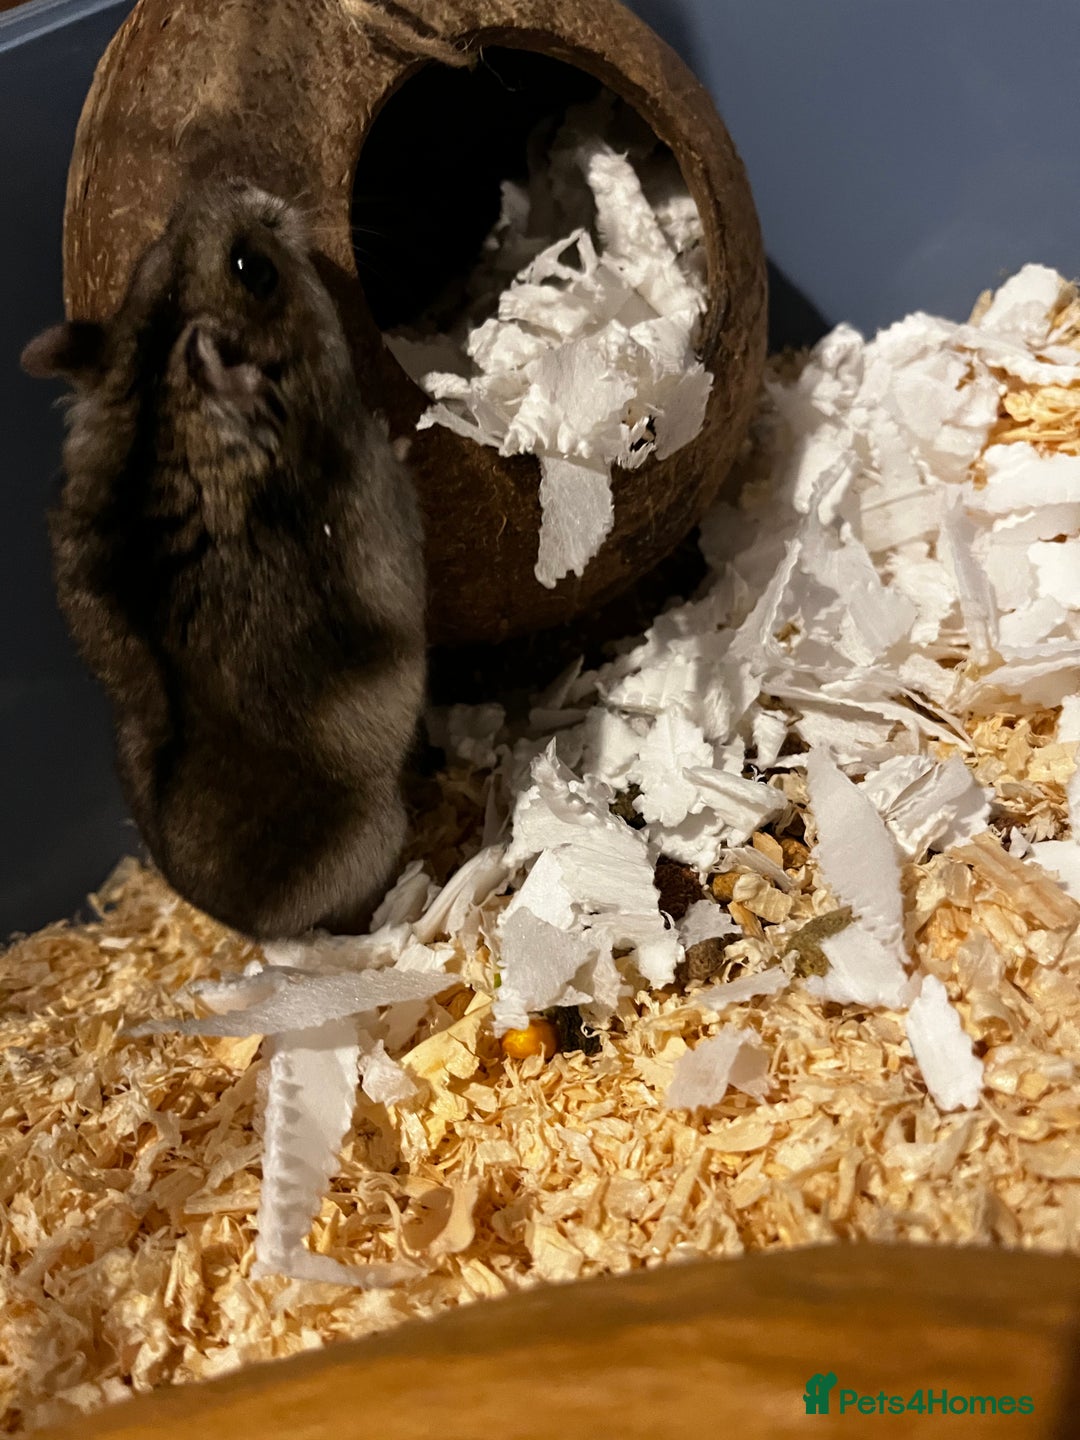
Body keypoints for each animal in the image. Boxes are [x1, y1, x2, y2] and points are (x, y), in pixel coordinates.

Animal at [22, 178, 426, 939]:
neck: (164, 418)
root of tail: (230, 922)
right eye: (252, 268)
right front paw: (405, 431)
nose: (239, 186)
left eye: (148, 256)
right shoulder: (376, 509)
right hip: (375, 832)